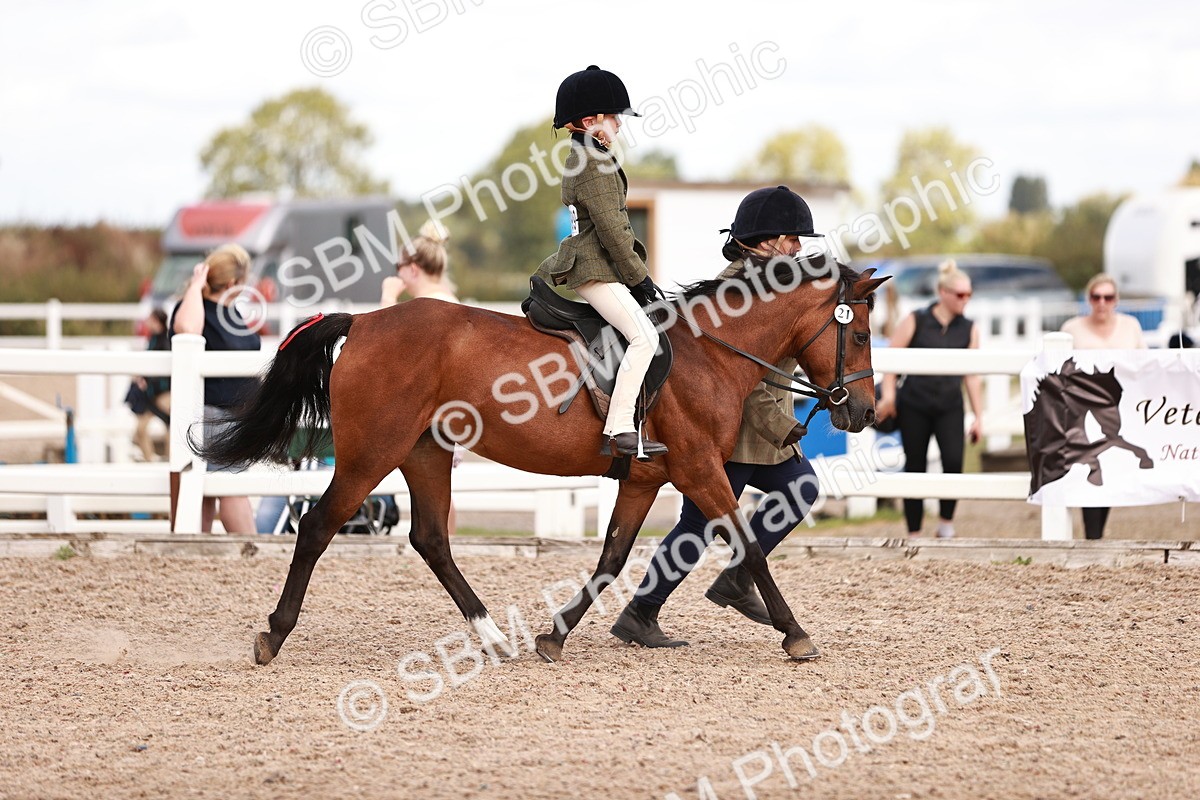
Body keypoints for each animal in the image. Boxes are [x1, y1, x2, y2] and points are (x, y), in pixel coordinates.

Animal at [194, 255, 888, 665]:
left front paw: (554, 635)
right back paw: (274, 633)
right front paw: (795, 634)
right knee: (317, 527)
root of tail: (363, 322)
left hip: (425, 453)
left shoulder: (644, 478)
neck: (709, 352)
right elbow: (745, 543)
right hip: (372, 454)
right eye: (858, 333)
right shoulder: (698, 470)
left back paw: (493, 637)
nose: (862, 412)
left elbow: (612, 558)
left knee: (431, 540)